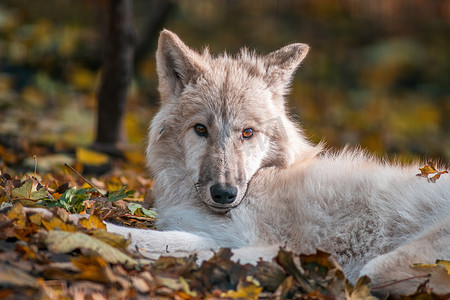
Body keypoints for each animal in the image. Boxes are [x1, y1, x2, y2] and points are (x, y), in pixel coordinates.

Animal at [107, 30, 448, 296]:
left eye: (248, 132)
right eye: (200, 129)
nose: (224, 194)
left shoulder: (257, 240)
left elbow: (175, 247)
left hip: (379, 267)